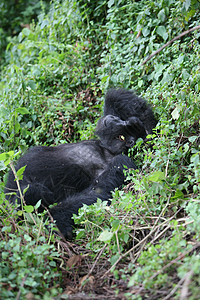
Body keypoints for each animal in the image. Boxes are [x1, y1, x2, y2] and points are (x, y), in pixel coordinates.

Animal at [5, 88, 157, 238]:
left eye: (121, 136)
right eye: (121, 130)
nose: (115, 121)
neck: (106, 151)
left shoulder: (120, 162)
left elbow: (96, 194)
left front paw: (56, 220)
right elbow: (118, 99)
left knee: (30, 194)